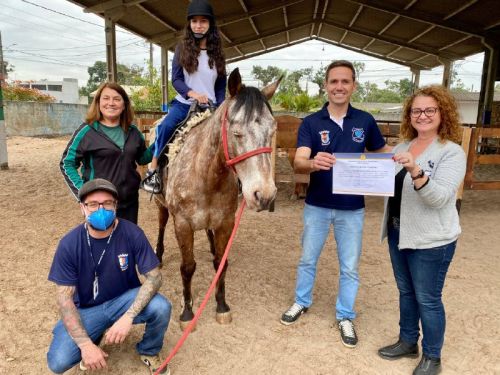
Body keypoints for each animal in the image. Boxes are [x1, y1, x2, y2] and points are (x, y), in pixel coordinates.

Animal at [154, 69, 280, 328]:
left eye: (272, 131)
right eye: (237, 133)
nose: (264, 195)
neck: (205, 174)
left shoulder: (225, 223)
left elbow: (221, 264)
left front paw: (222, 306)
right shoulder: (183, 225)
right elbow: (188, 267)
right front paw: (187, 312)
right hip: (162, 205)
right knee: (161, 224)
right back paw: (158, 255)